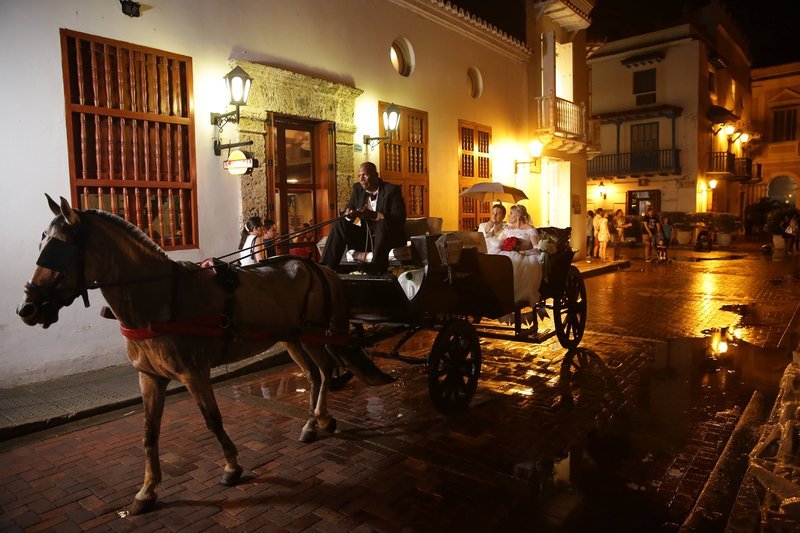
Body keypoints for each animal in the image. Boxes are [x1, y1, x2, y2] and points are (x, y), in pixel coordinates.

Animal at [17, 195, 392, 514]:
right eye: (41, 244)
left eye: (59, 250)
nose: (27, 308)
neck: (160, 297)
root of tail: (318, 267)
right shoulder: (149, 377)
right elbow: (148, 432)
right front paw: (146, 492)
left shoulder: (193, 373)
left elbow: (213, 420)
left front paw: (232, 466)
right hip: (292, 338)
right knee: (314, 374)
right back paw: (315, 423)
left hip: (312, 335)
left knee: (326, 370)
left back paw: (319, 419)